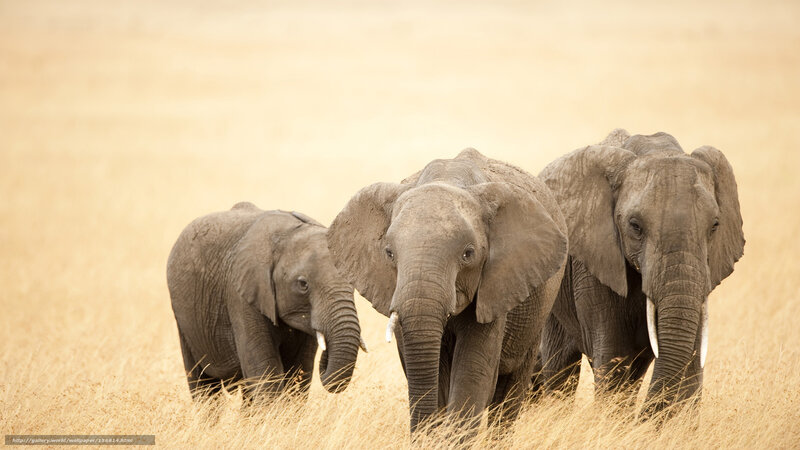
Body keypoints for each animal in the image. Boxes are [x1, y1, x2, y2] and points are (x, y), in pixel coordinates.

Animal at [167, 202, 364, 402]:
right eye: (303, 284)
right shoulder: (241, 294)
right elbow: (265, 372)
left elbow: (299, 373)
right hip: (184, 321)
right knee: (203, 386)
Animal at [328, 149, 568, 433]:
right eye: (388, 253)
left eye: (468, 254)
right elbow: (433, 376)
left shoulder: (494, 287)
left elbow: (472, 374)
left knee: (509, 393)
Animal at [534, 129, 744, 417]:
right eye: (635, 226)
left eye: (714, 226)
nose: (640, 420)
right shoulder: (594, 266)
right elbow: (613, 357)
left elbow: (690, 357)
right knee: (560, 365)